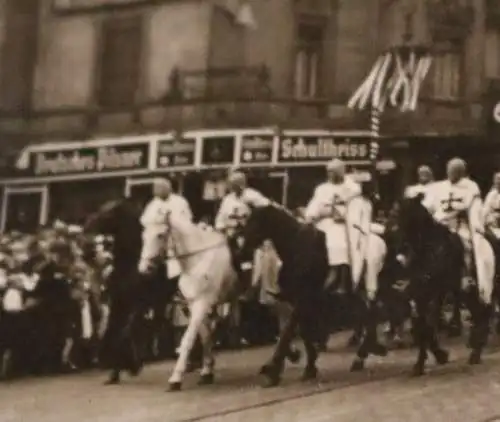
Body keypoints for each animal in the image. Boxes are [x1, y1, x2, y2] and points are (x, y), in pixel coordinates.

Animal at [138, 213, 237, 390]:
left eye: (160, 235)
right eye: (144, 236)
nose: (144, 268)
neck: (198, 260)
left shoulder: (202, 304)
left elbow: (188, 339)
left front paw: (176, 378)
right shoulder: (194, 304)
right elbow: (205, 336)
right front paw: (207, 370)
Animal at [396, 195, 490, 376]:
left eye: (411, 217)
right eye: (398, 216)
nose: (403, 249)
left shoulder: (433, 292)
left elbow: (426, 325)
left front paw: (436, 356)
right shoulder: (421, 295)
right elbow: (422, 326)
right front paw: (427, 360)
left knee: (482, 314)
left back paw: (476, 351)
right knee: (480, 313)